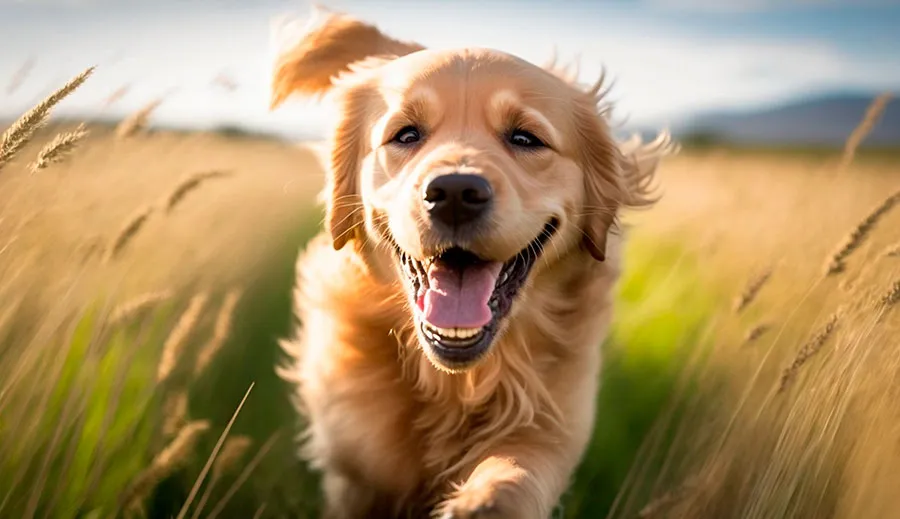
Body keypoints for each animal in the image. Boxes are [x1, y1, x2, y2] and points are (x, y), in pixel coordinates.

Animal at [274, 8, 676, 519]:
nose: (454, 193)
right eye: (406, 134)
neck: (454, 381)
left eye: (525, 138)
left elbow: (514, 472)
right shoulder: (356, 468)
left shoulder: (552, 423)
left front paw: (481, 501)